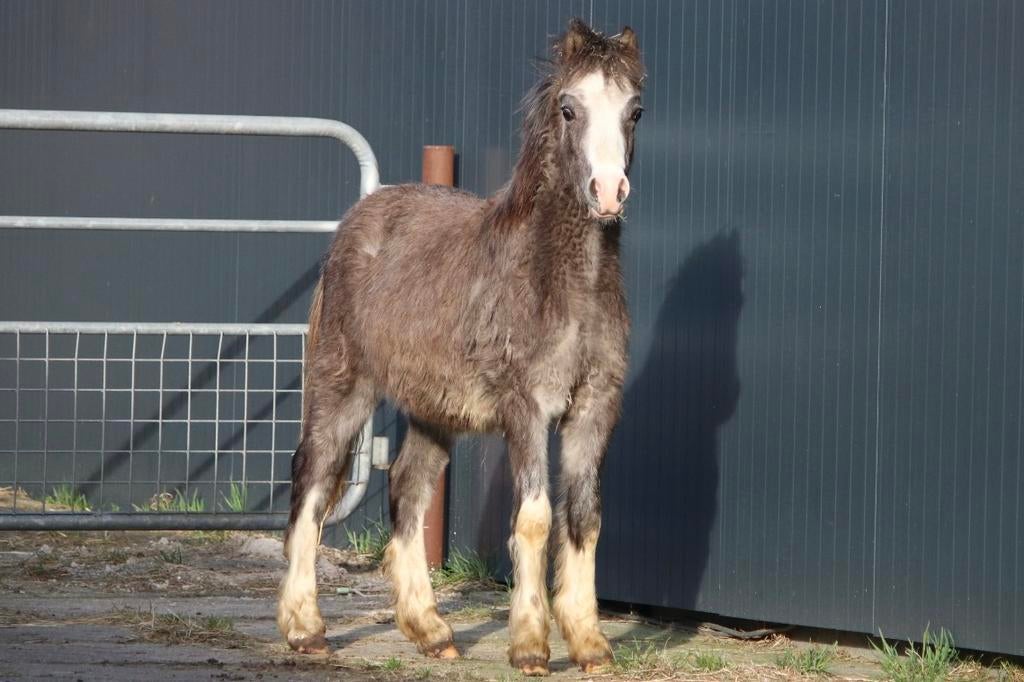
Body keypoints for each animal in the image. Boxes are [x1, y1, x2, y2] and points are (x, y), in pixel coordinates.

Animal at [277, 19, 645, 676]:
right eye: (569, 108)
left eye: (635, 110)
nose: (608, 192)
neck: (560, 281)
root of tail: (359, 219)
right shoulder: (528, 409)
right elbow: (535, 519)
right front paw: (530, 646)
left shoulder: (594, 409)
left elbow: (585, 519)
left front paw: (590, 643)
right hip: (342, 385)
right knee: (312, 481)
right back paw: (305, 629)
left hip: (432, 410)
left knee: (408, 489)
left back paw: (430, 631)